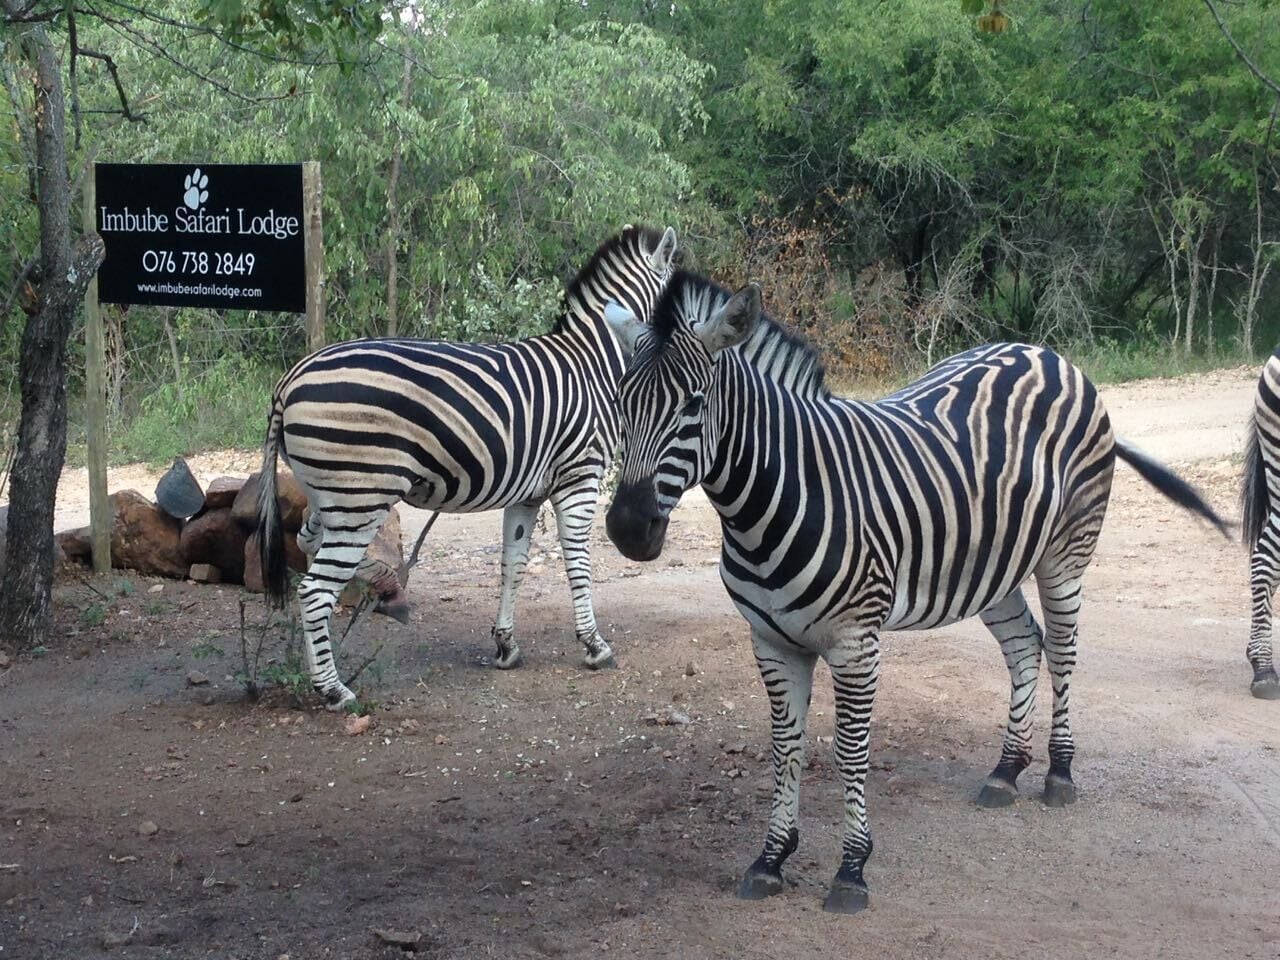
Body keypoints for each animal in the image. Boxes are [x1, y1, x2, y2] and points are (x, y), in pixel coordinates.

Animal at [254, 224, 679, 709]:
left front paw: (506, 645)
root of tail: (290, 379)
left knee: (307, 543)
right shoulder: (580, 476)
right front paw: (594, 645)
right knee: (314, 591)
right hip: (359, 498)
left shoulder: (528, 493)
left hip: (333, 496)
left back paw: (379, 588)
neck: (595, 364)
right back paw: (334, 689)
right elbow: (578, 561)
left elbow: (513, 564)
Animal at [602, 271, 1228, 913]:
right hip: (991, 567)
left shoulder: (856, 642)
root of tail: (1046, 355)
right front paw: (771, 858)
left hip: (1065, 553)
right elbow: (786, 746)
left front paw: (852, 869)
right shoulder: (771, 642)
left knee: (1063, 651)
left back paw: (1059, 773)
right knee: (1024, 645)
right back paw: (1007, 769)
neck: (771, 503)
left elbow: (850, 750)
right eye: (621, 403)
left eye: (694, 405)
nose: (627, 528)